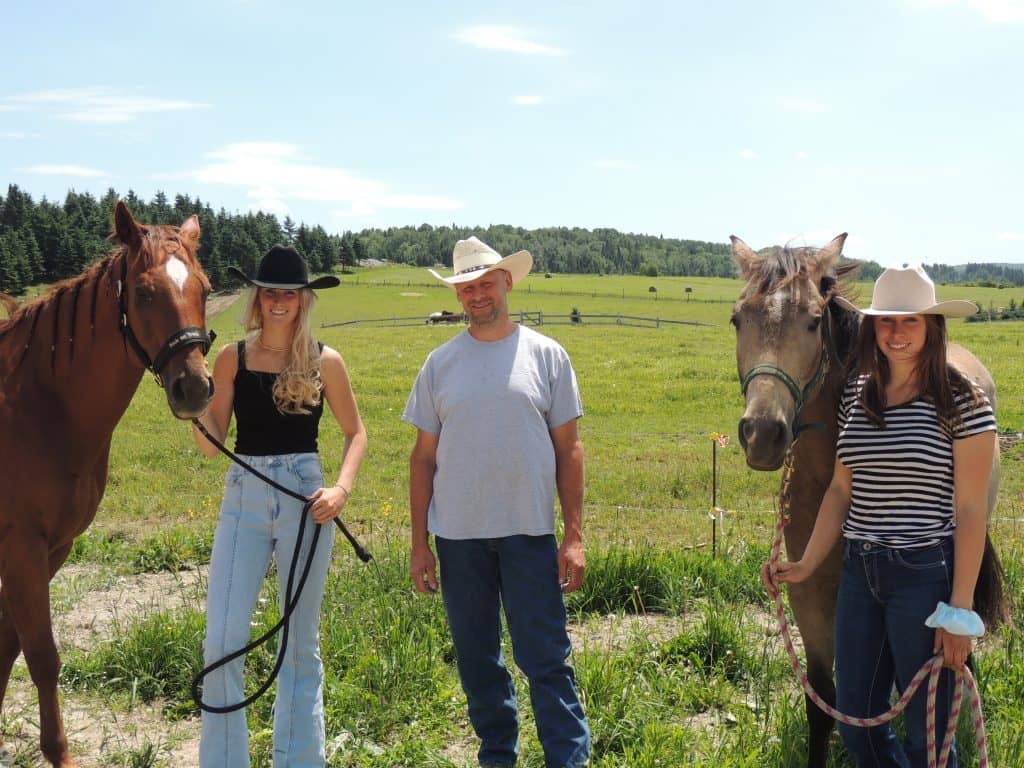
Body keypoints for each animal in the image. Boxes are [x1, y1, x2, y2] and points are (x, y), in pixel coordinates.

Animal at [0, 201, 216, 765]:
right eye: (143, 293)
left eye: (206, 289)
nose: (194, 388)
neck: (36, 403)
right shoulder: (21, 548)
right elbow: (43, 656)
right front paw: (59, 752)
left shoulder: (52, 548)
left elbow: (9, 646)